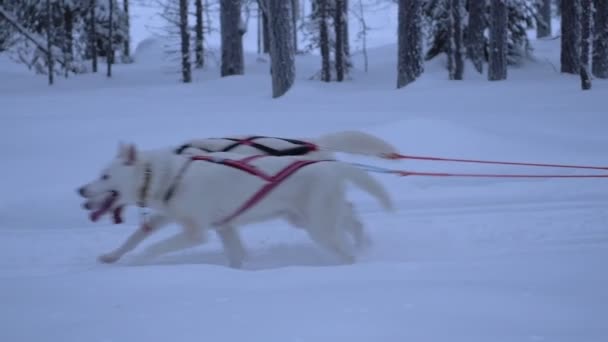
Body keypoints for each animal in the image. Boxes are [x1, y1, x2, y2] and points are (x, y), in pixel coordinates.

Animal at [77, 143, 394, 268]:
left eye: (104, 176)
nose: (80, 190)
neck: (170, 177)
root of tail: (332, 165)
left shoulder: (196, 232)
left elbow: (153, 246)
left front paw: (139, 260)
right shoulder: (219, 226)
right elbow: (135, 237)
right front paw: (111, 256)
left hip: (318, 227)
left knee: (346, 248)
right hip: (307, 218)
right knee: (353, 219)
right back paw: (364, 243)